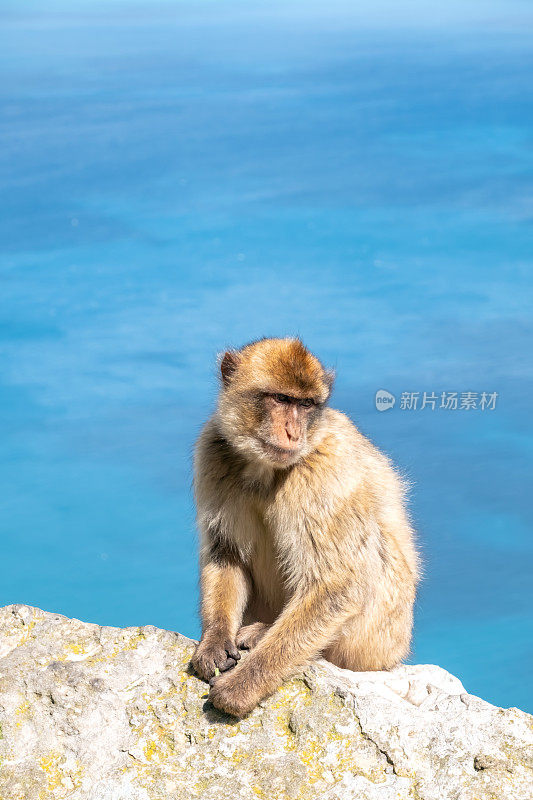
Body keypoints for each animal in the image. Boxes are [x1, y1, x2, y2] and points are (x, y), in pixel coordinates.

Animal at [189, 338, 418, 720]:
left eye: (306, 404)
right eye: (282, 399)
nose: (293, 432)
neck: (264, 467)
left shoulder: (324, 469)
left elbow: (337, 586)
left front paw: (242, 687)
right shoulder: (212, 450)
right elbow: (226, 553)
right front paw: (215, 640)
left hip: (379, 641)